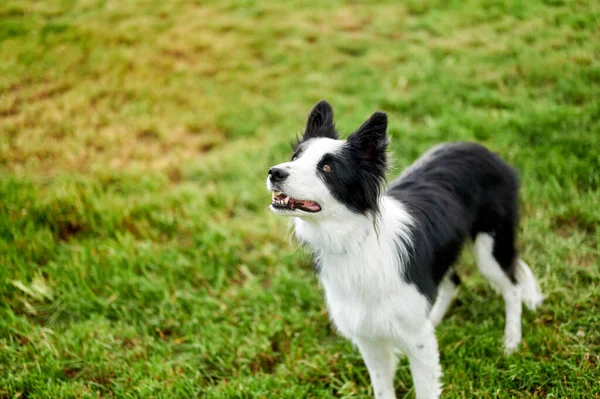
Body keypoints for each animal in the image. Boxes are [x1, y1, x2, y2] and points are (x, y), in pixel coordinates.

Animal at [266, 101, 544, 399]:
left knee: (512, 287)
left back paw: (511, 340)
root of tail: (484, 150)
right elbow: (383, 388)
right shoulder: (369, 340)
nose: (274, 172)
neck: (355, 242)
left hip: (490, 248)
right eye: (296, 156)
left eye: (328, 167)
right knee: (454, 281)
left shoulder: (418, 343)